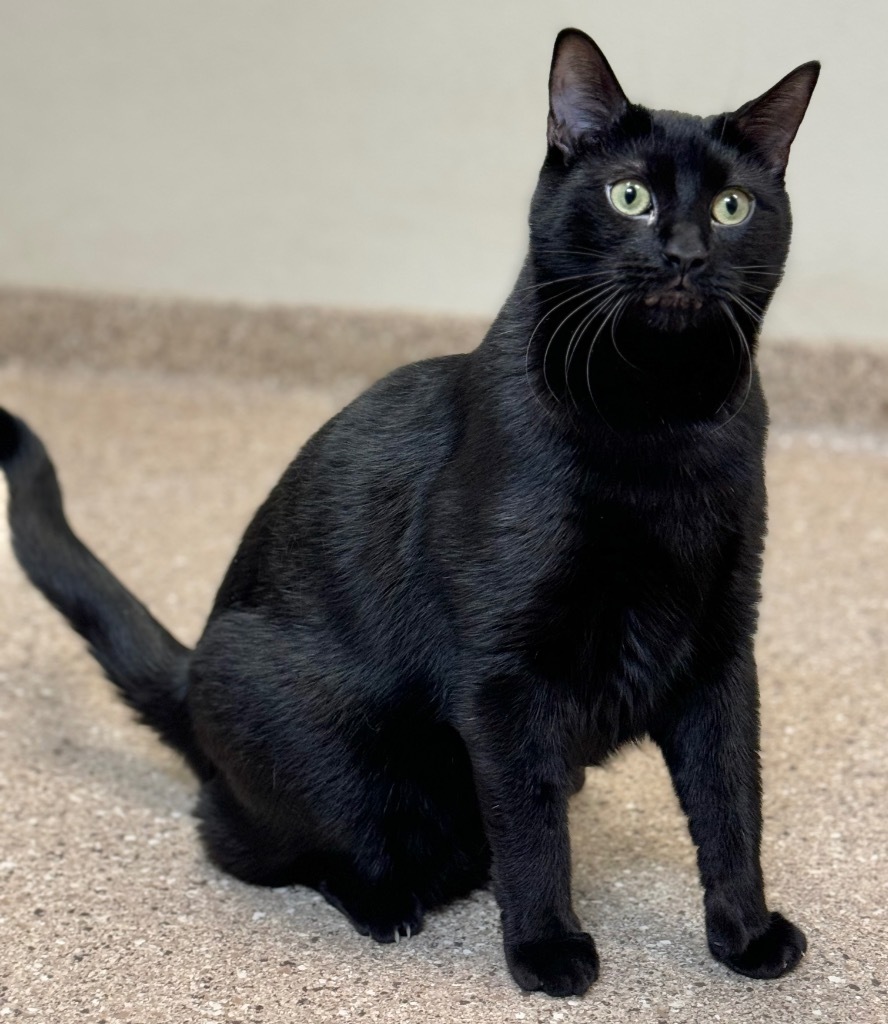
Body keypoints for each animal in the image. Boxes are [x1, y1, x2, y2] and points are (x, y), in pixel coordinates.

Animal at [0, 25, 819, 999]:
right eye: (631, 196)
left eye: (733, 206)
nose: (687, 252)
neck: (661, 427)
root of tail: (193, 675)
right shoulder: (504, 676)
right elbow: (533, 829)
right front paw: (546, 949)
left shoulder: (721, 649)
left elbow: (732, 810)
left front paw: (746, 935)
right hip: (304, 726)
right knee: (251, 837)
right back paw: (384, 900)